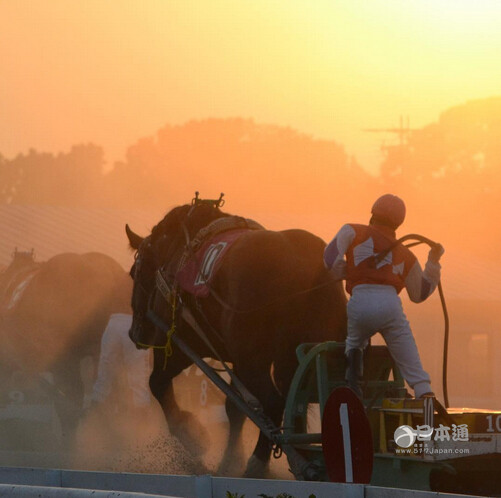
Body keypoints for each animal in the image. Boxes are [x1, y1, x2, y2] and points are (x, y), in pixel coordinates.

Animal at [125, 200, 346, 476]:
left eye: (134, 272)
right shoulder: (239, 361)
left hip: (255, 361)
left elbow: (157, 383)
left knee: (274, 401)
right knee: (295, 403)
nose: (135, 333)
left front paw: (194, 437)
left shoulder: (180, 344)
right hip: (291, 359)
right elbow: (235, 410)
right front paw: (230, 459)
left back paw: (260, 463)